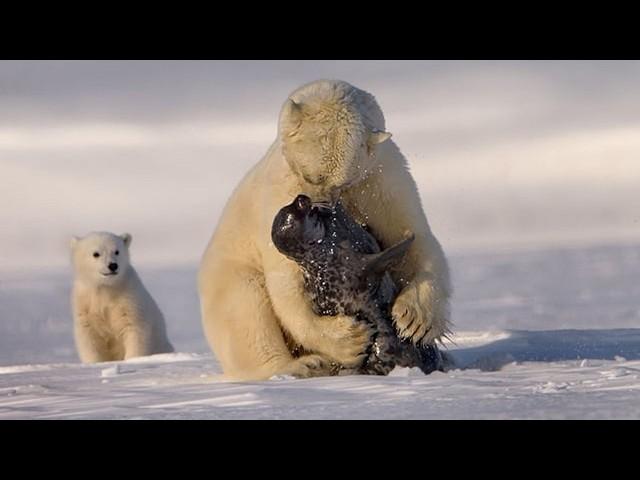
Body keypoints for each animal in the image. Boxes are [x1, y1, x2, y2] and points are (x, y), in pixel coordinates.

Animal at [70, 231, 174, 362]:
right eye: (96, 254)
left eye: (117, 251)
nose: (113, 265)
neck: (106, 288)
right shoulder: (85, 302)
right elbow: (89, 336)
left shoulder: (128, 298)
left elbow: (134, 329)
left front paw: (132, 360)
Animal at [198, 79, 452, 378]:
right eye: (310, 176)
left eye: (342, 182)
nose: (315, 205)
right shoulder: (279, 190)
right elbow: (286, 283)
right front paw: (349, 340)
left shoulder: (381, 177)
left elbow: (413, 235)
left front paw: (415, 320)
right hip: (228, 271)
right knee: (246, 309)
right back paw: (303, 364)